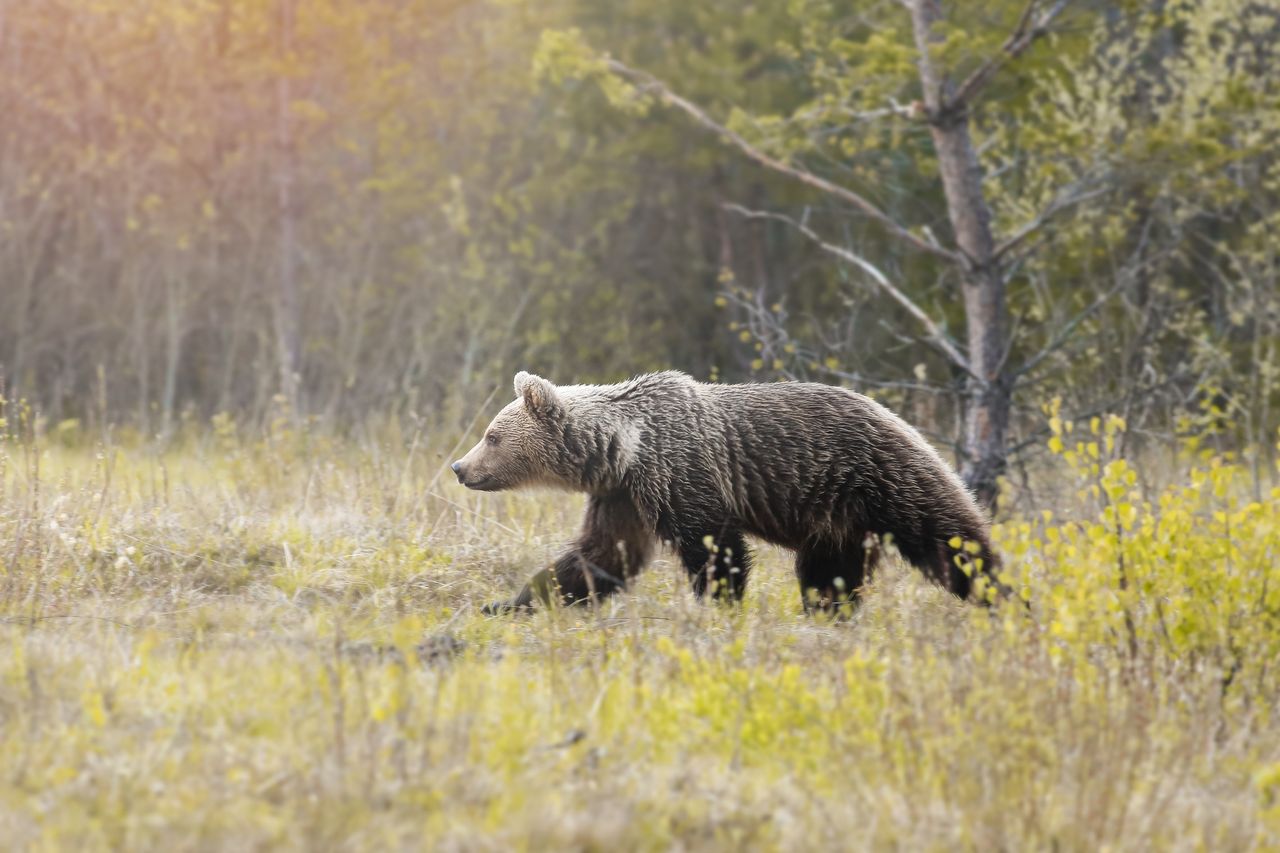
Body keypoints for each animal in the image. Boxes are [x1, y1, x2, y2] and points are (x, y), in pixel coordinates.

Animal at [455, 368, 1003, 607]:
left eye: (492, 435)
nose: (460, 467)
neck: (624, 448)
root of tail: (898, 416)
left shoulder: (682, 473)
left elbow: (715, 550)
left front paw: (717, 608)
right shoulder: (624, 495)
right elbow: (601, 556)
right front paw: (511, 602)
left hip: (882, 477)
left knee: (952, 542)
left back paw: (1004, 601)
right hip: (838, 518)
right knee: (828, 575)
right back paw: (831, 613)